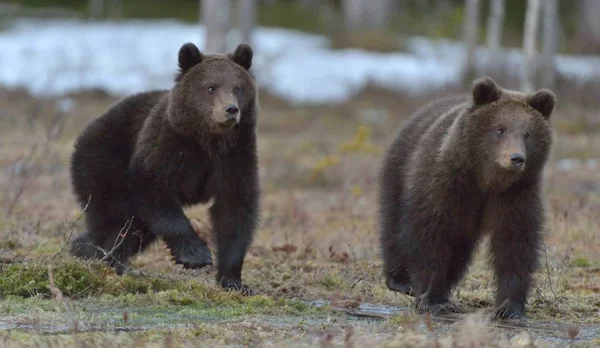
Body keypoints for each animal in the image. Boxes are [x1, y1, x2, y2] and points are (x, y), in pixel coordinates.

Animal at [68, 42, 260, 294]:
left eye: (237, 88)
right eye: (211, 87)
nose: (231, 109)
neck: (209, 140)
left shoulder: (236, 156)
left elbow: (235, 209)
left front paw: (233, 281)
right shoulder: (168, 146)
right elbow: (155, 189)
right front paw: (196, 255)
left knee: (132, 229)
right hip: (104, 160)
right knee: (117, 220)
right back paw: (101, 257)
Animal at [378, 76, 556, 318]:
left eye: (528, 134)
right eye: (500, 129)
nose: (517, 158)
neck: (487, 181)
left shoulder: (516, 195)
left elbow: (515, 243)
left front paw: (509, 307)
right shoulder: (447, 186)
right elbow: (431, 236)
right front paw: (434, 300)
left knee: (460, 251)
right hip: (400, 169)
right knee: (394, 224)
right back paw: (401, 280)